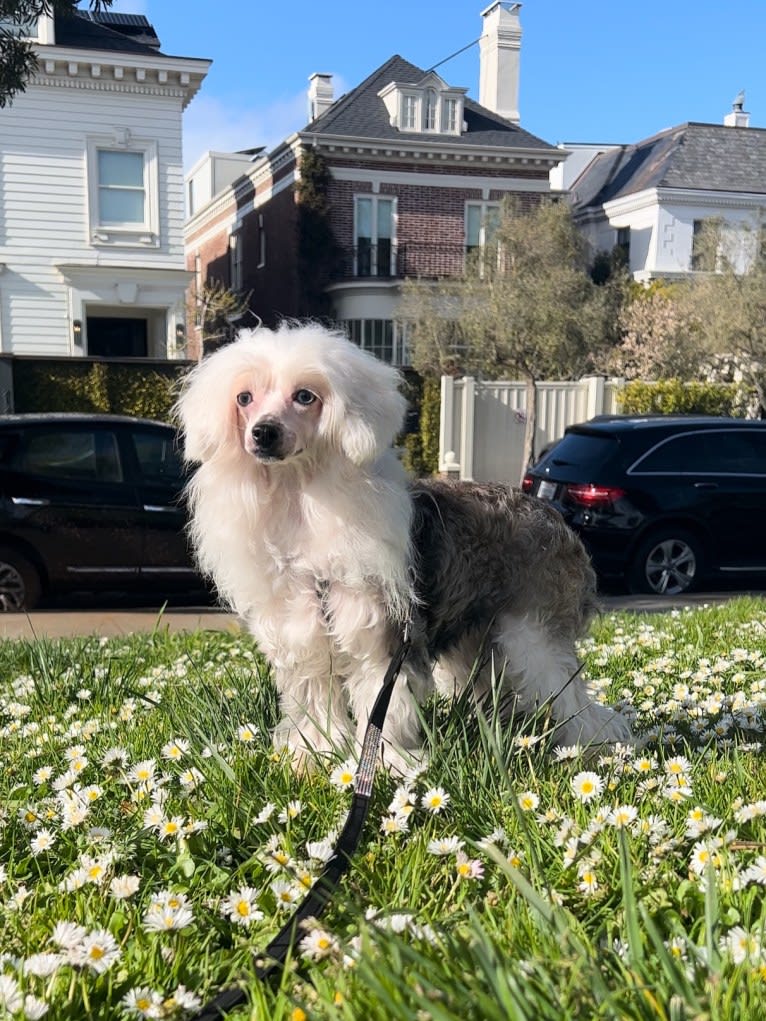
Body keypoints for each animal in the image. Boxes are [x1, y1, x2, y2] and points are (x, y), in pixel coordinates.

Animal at [176, 322, 633, 767]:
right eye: (244, 398)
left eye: (305, 396)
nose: (263, 433)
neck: (301, 506)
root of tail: (550, 512)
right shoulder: (304, 642)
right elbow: (315, 705)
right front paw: (314, 756)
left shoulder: (383, 640)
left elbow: (384, 708)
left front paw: (384, 763)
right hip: (475, 642)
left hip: (531, 635)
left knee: (573, 696)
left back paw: (599, 744)